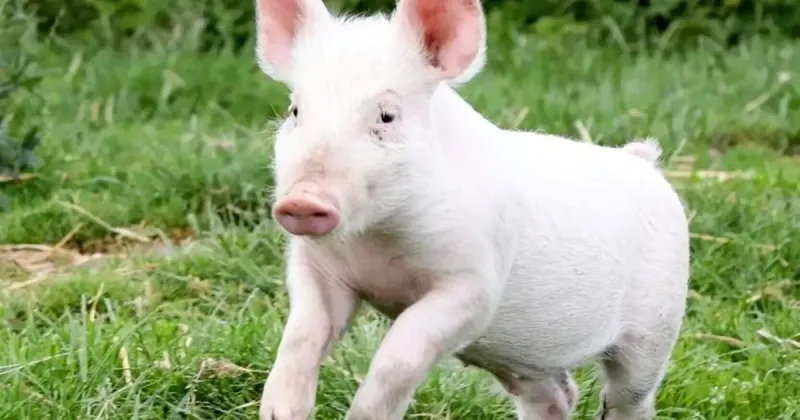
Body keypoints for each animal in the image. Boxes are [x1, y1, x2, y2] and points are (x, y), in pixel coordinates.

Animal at [254, 0, 690, 419]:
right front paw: (277, 412)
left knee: (628, 399)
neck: (376, 244)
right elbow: (301, 335)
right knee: (557, 395)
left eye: (387, 115)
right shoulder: (316, 268)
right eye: (295, 112)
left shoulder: (475, 284)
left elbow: (400, 355)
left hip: (656, 325)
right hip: (522, 359)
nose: (302, 200)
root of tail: (641, 161)